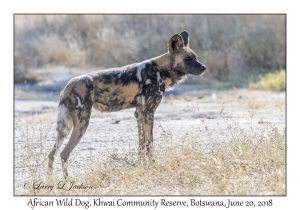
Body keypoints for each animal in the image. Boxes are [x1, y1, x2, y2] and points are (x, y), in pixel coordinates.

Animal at [48, 30, 206, 176]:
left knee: (52, 154)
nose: (204, 68)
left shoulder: (140, 113)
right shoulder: (149, 113)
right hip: (82, 123)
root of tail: (70, 83)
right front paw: (153, 164)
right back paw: (69, 180)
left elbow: (141, 144)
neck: (161, 69)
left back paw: (51, 180)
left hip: (65, 128)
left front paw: (141, 165)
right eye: (187, 59)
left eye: (196, 58)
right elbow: (150, 145)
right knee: (64, 153)